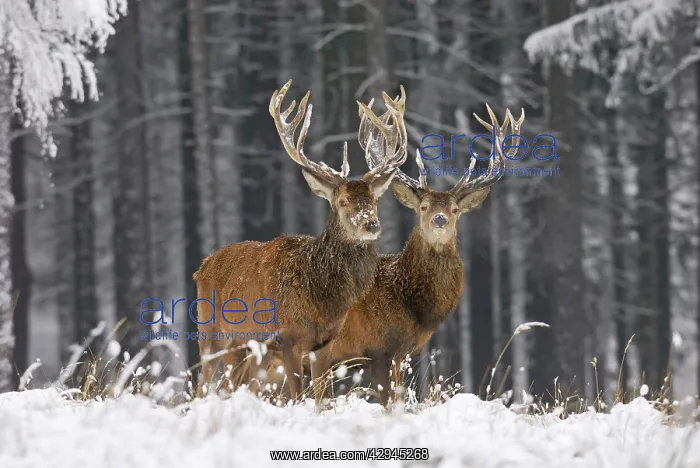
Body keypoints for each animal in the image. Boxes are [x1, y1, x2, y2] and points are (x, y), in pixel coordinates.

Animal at [192, 80, 409, 400]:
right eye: (342, 201)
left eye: (374, 200)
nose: (371, 224)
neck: (319, 295)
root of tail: (202, 267)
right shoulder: (287, 338)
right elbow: (296, 396)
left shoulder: (324, 345)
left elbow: (320, 398)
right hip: (212, 333)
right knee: (203, 385)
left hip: (250, 351)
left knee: (233, 386)